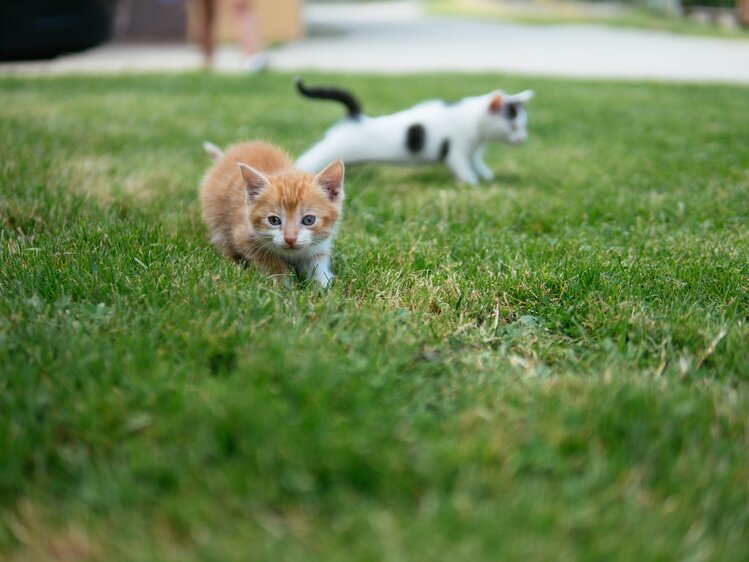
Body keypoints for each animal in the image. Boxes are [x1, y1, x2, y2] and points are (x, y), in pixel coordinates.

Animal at [196, 139, 342, 286]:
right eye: (274, 220)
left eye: (308, 220)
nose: (290, 239)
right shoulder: (244, 236)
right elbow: (270, 261)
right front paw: (282, 284)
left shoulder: (319, 246)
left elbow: (317, 263)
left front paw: (322, 283)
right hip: (217, 217)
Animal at [292, 77, 532, 184]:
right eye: (513, 125)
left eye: (523, 126)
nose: (522, 139)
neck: (473, 121)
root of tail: (356, 117)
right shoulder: (457, 150)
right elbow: (463, 167)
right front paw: (472, 182)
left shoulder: (473, 151)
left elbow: (478, 163)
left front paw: (487, 176)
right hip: (328, 150)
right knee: (307, 159)